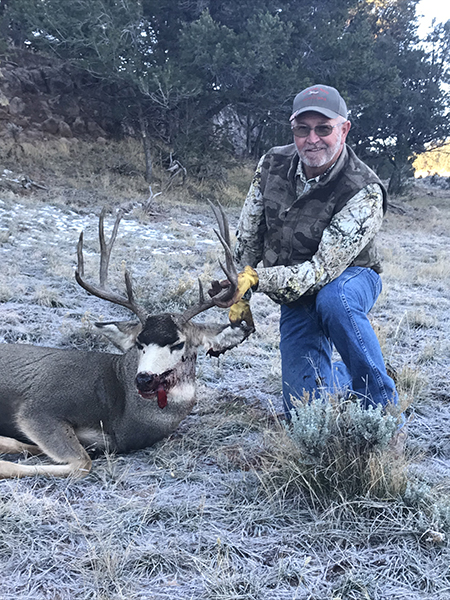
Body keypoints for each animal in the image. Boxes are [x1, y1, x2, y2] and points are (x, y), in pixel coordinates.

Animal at [0, 205, 253, 478]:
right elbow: (81, 462)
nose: (144, 378)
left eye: (179, 343)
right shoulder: (39, 407)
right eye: (139, 343)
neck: (122, 416)